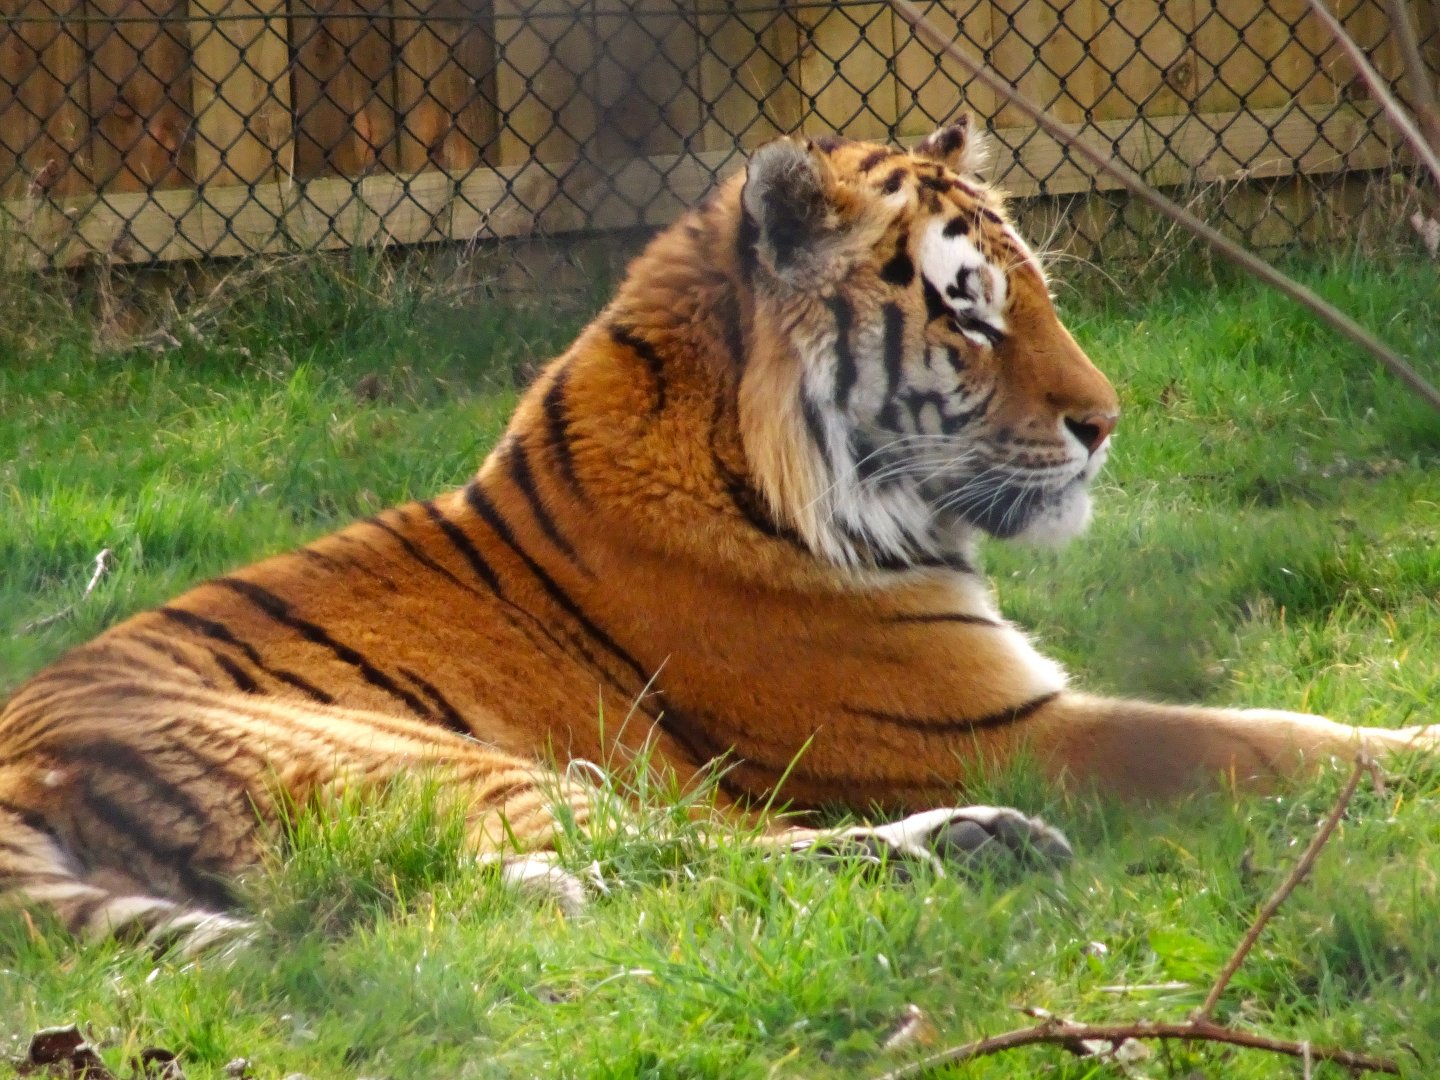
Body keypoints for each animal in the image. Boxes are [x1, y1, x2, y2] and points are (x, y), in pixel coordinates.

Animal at [2, 116, 1434, 952]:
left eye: (1033, 294)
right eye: (969, 312)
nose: (1107, 425)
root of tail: (23, 762)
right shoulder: (1000, 728)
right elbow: (1273, 739)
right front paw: (1414, 750)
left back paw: (976, 848)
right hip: (444, 764)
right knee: (664, 865)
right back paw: (977, 845)